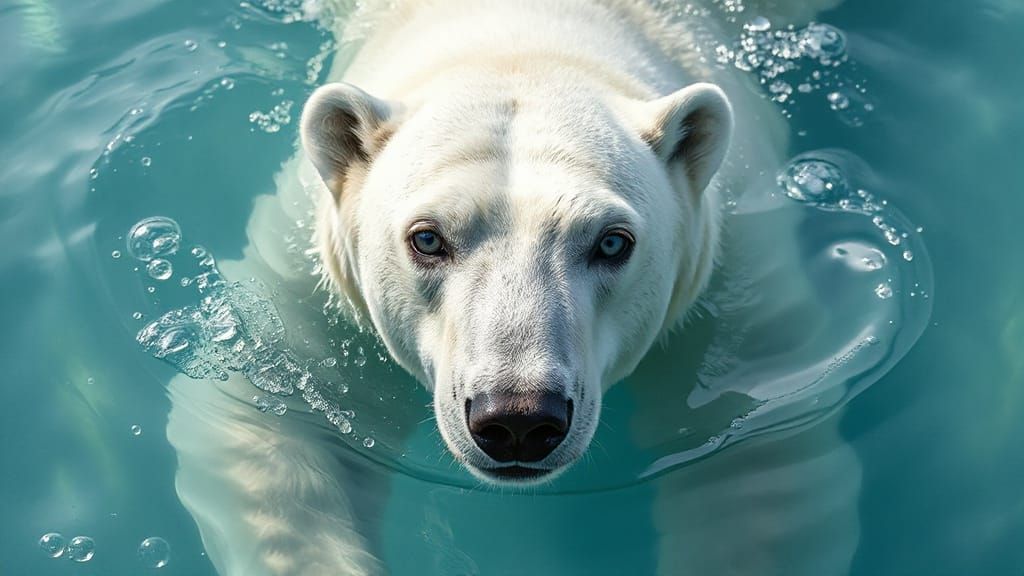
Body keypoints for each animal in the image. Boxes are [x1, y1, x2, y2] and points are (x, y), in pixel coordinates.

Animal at [167, 1, 860, 574]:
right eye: (427, 238)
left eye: (613, 242)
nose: (519, 418)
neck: (525, 35)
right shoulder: (311, 296)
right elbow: (275, 422)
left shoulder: (729, 301)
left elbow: (755, 463)